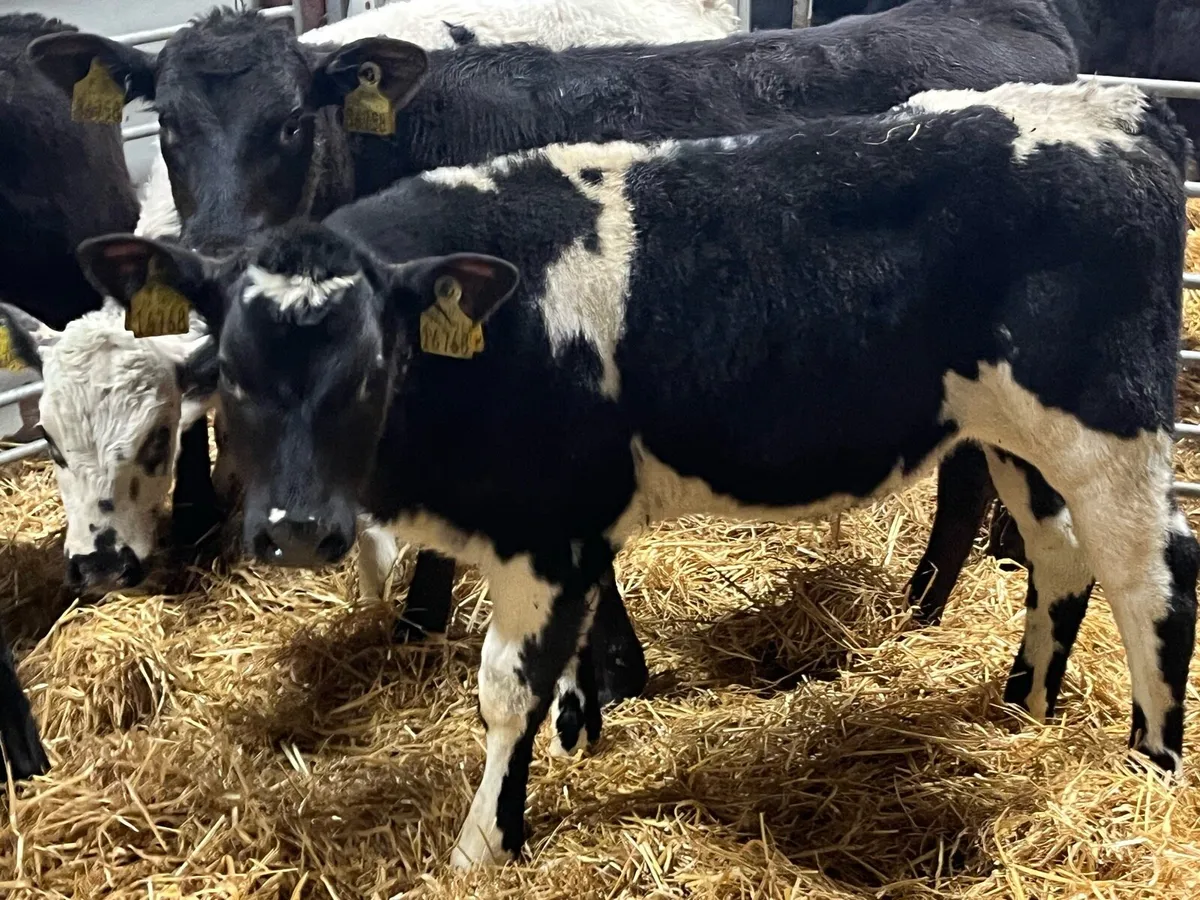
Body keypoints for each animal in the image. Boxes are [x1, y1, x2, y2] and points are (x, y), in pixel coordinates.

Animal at [73, 80, 1198, 865]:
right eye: (228, 372)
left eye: (373, 370)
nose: (296, 529)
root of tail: (1118, 107)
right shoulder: (561, 527)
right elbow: (571, 664)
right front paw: (583, 735)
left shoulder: (546, 531)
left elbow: (507, 690)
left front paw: (487, 842)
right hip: (1015, 434)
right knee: (1060, 557)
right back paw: (1023, 709)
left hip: (1108, 423)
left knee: (1154, 579)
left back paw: (1149, 762)